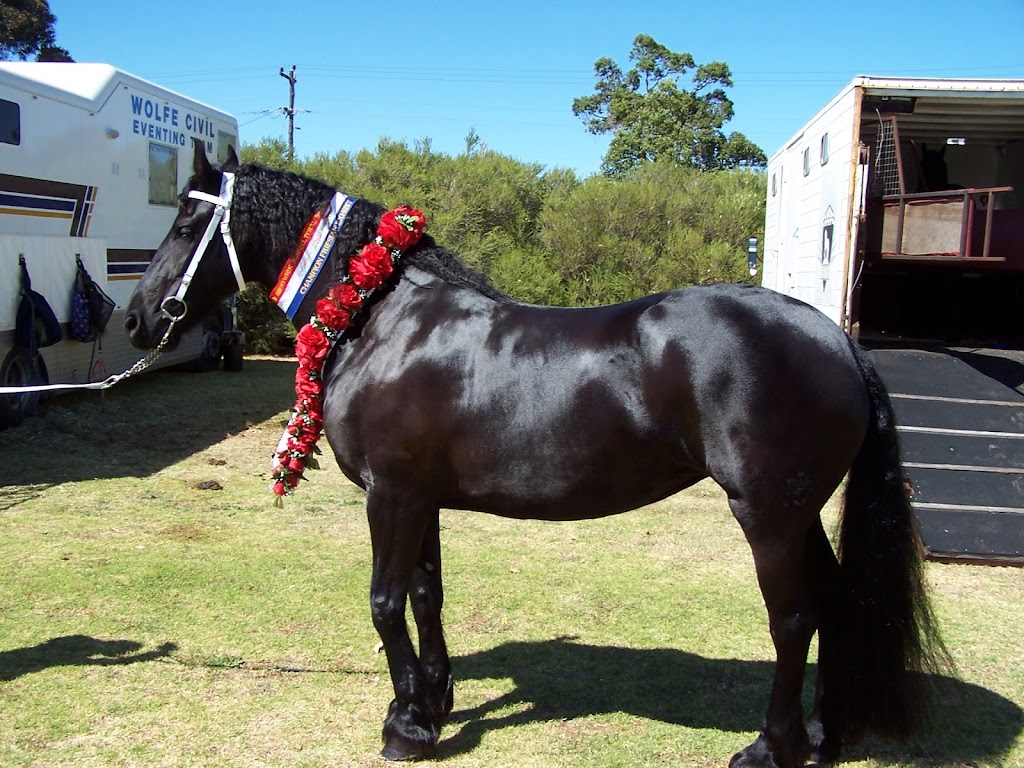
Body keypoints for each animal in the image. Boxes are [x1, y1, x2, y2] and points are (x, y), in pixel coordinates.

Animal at [123, 141, 946, 765]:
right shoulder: (420, 499)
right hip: (800, 512)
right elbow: (426, 595)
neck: (379, 314)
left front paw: (404, 725)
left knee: (793, 616)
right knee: (835, 602)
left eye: (187, 219)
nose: (135, 318)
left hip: (768, 514)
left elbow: (384, 602)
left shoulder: (390, 495)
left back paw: (772, 748)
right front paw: (433, 703)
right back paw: (823, 737)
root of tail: (833, 336)